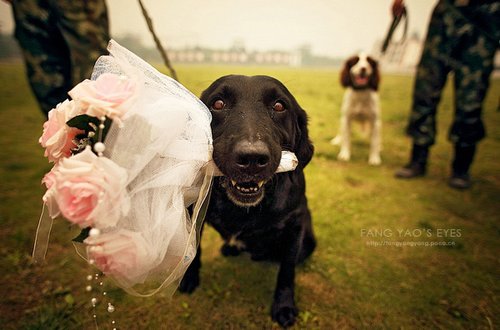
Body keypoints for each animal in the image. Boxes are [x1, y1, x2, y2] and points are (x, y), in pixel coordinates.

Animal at [180, 75, 316, 328]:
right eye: (218, 103)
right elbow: (194, 250)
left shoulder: (295, 225)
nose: (251, 158)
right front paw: (189, 277)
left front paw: (284, 306)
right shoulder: (195, 213)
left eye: (279, 106)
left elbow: (287, 271)